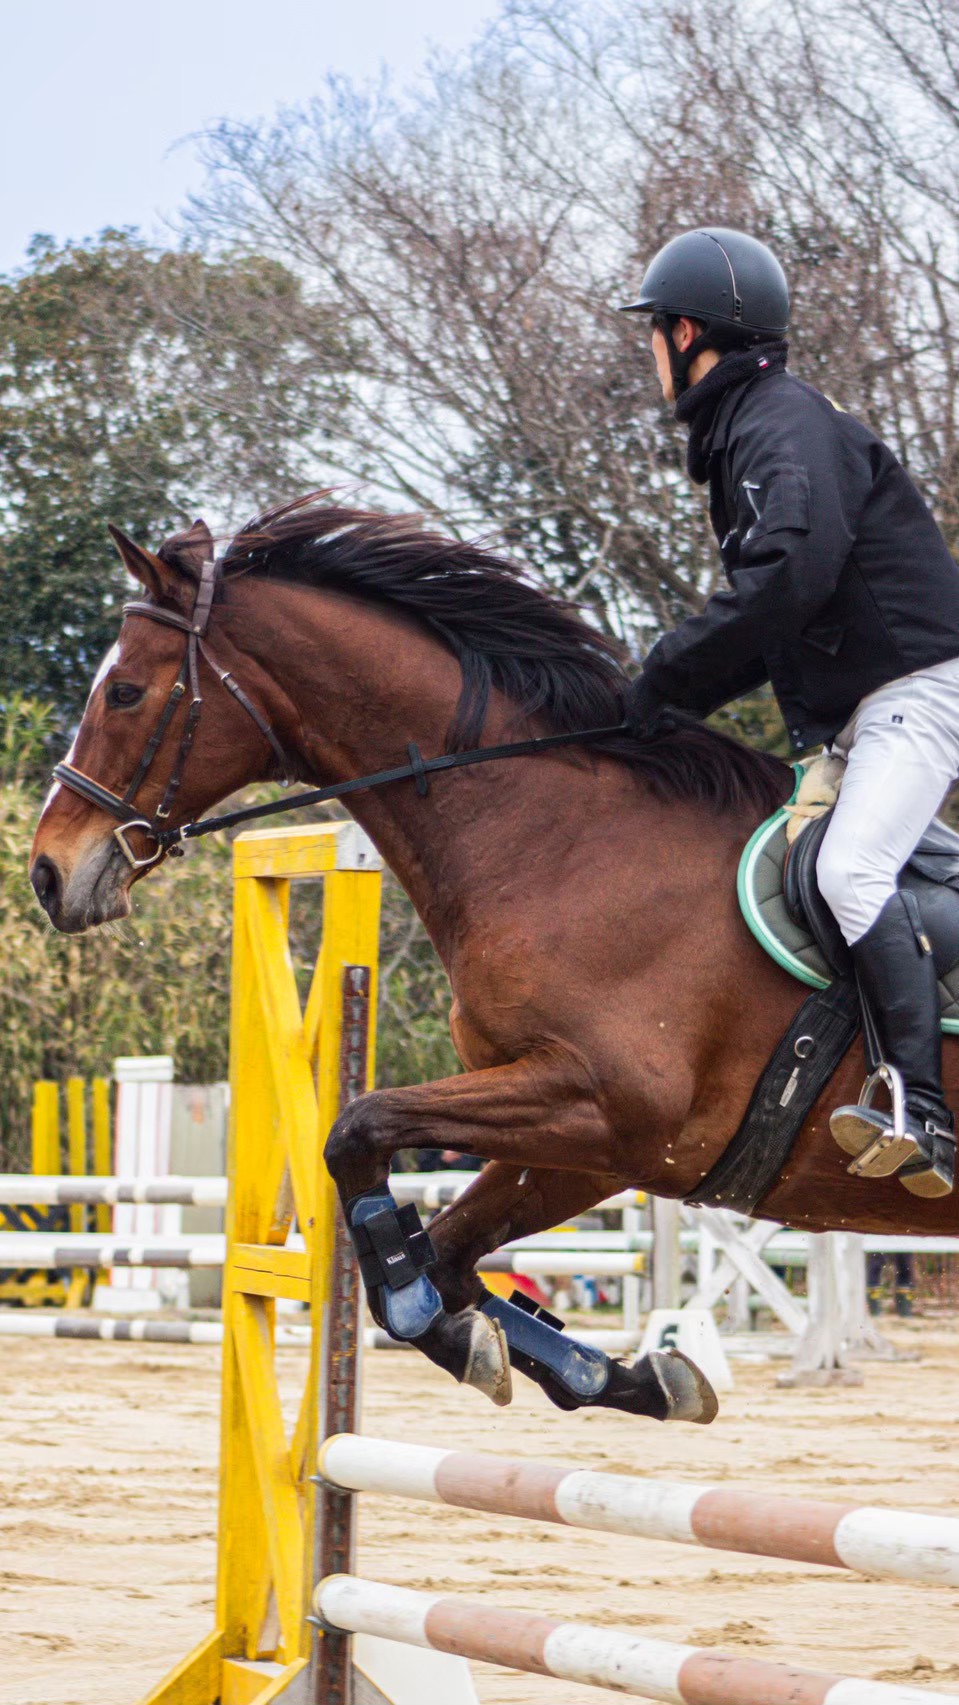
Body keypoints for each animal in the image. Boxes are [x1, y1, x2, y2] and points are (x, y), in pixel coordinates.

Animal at [30, 496, 959, 1424]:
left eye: (124, 691)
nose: (47, 872)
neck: (559, 842)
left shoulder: (608, 1102)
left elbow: (357, 1130)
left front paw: (428, 1310)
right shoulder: (594, 1144)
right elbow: (444, 1250)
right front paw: (616, 1373)